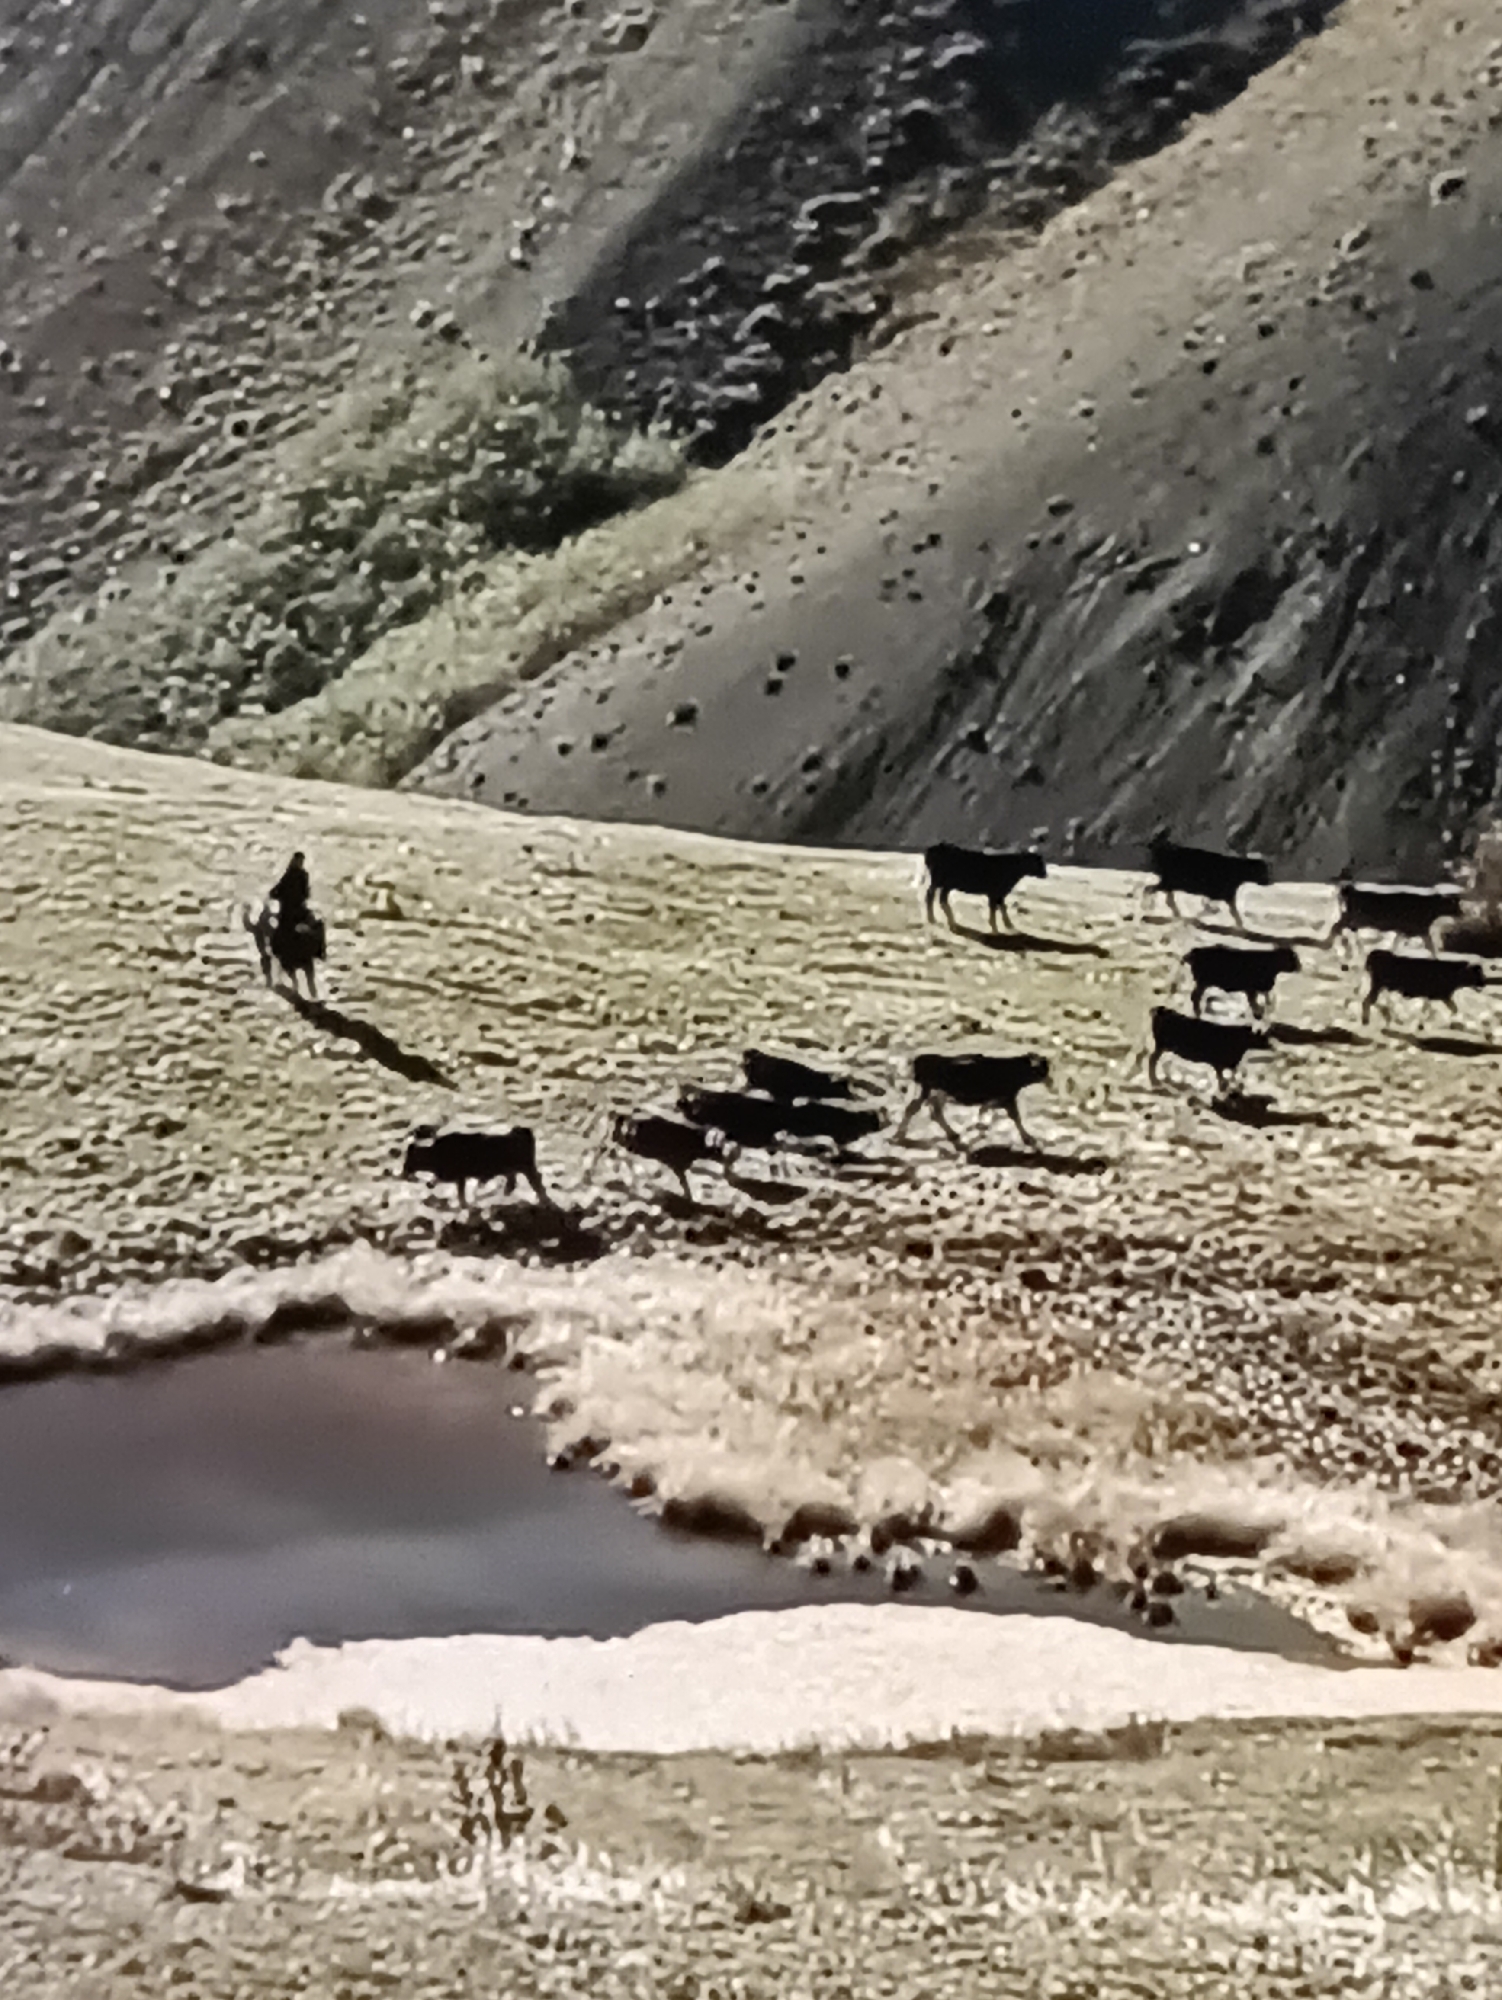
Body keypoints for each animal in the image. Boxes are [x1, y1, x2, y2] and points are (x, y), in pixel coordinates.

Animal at [401, 1126, 550, 1206]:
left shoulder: (458, 1176)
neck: (435, 1154)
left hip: (527, 1168)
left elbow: (460, 1194)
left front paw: (464, 1205)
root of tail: (522, 1132)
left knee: (536, 1182)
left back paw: (543, 1201)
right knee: (513, 1182)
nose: (403, 1174)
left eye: (408, 1161)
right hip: (512, 1169)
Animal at [894, 1051, 1050, 1151]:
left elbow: (988, 1109)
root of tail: (920, 1059)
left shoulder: (999, 1099)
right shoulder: (1008, 1098)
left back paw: (953, 1135)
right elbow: (1016, 1117)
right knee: (913, 1108)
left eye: (1044, 1067)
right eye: (1037, 1069)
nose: (1048, 1080)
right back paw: (899, 1134)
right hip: (926, 1091)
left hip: (938, 1093)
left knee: (935, 1112)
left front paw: (982, 1124)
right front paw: (1029, 1139)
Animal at [1331, 880, 1464, 957]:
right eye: (1457, 906)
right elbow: (1431, 946)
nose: (1462, 914)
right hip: (1355, 919)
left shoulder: (1405, 931)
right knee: (1336, 926)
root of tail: (1351, 892)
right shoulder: (1421, 931)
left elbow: (1397, 943)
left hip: (1353, 921)